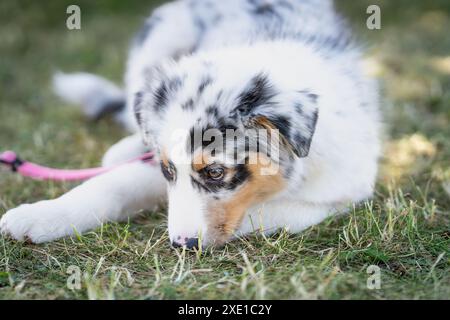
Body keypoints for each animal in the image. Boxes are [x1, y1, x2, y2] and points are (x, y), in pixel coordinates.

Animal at [0, 0, 382, 248]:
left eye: (215, 172)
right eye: (168, 169)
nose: (182, 244)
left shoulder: (343, 189)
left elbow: (263, 212)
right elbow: (113, 185)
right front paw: (39, 216)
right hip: (160, 35)